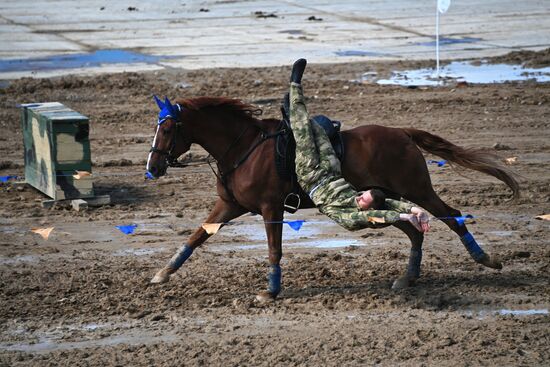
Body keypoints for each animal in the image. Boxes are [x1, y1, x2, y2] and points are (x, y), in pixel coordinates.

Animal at [144, 95, 520, 302]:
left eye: (168, 128)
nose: (152, 167)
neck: (244, 147)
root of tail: (402, 133)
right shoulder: (230, 205)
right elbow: (196, 237)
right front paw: (163, 273)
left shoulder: (270, 207)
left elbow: (273, 249)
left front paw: (271, 292)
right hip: (387, 200)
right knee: (415, 230)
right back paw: (408, 277)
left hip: (416, 189)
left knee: (450, 215)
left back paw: (485, 258)